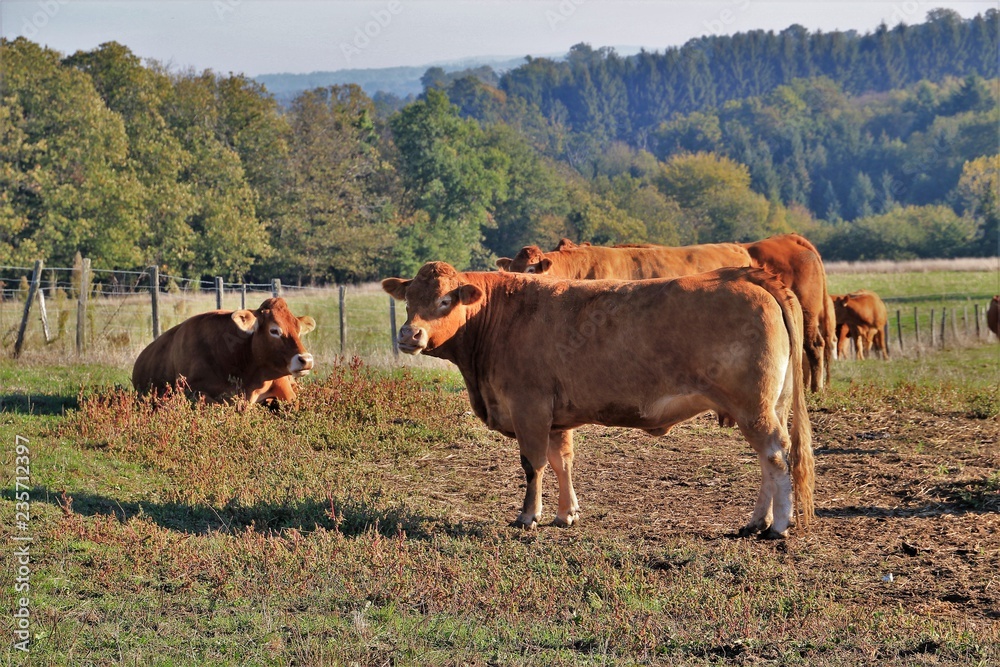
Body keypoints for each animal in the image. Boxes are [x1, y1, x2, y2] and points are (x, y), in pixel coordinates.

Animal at [382, 262, 815, 539]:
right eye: (408, 300)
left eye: (445, 301)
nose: (408, 334)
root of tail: (746, 276)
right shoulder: (555, 418)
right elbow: (561, 462)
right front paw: (566, 514)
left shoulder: (529, 407)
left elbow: (533, 465)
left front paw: (528, 516)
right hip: (767, 405)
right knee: (767, 460)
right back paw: (757, 521)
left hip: (753, 406)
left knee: (776, 454)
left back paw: (778, 526)